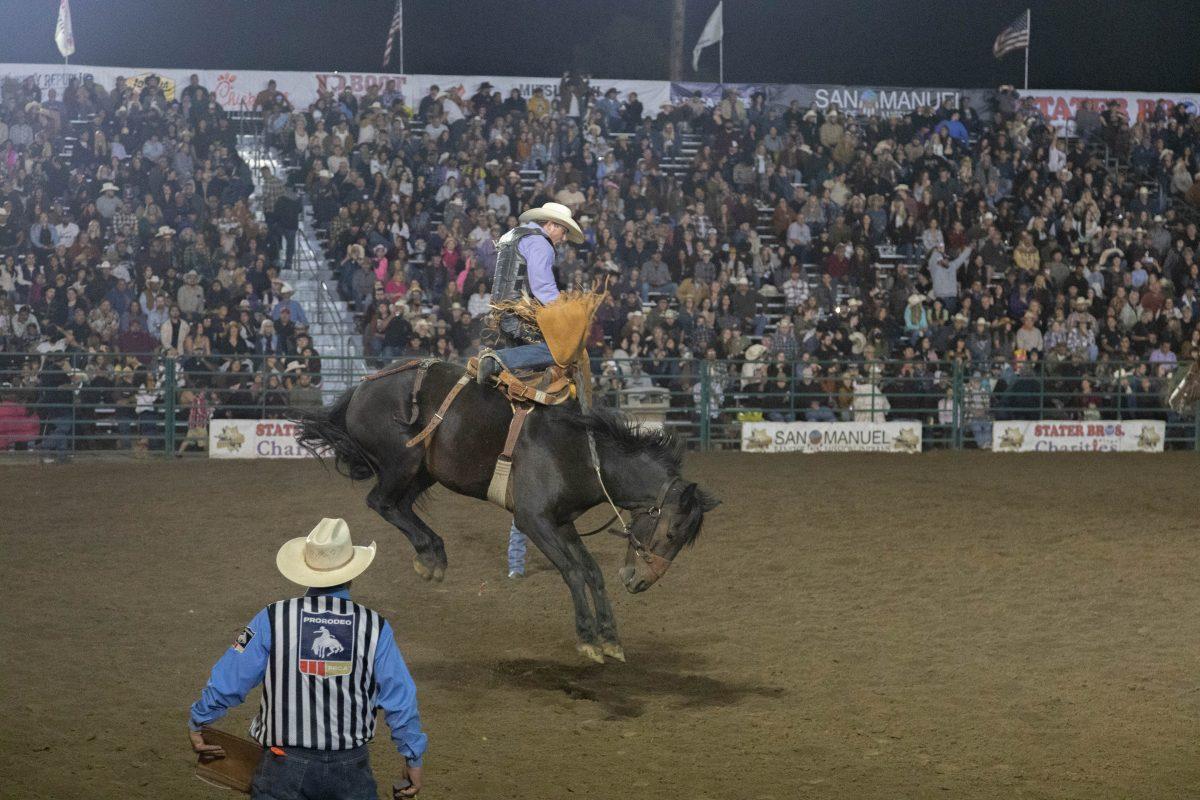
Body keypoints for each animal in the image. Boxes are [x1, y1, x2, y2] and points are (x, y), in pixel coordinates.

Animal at [295, 362, 715, 662]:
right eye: (672, 533)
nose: (640, 581)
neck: (582, 452)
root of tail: (362, 387)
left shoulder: (561, 522)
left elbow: (592, 571)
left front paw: (610, 638)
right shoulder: (533, 520)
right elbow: (574, 571)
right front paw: (587, 638)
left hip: (424, 471)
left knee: (399, 505)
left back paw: (432, 555)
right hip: (403, 461)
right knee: (380, 502)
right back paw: (431, 553)